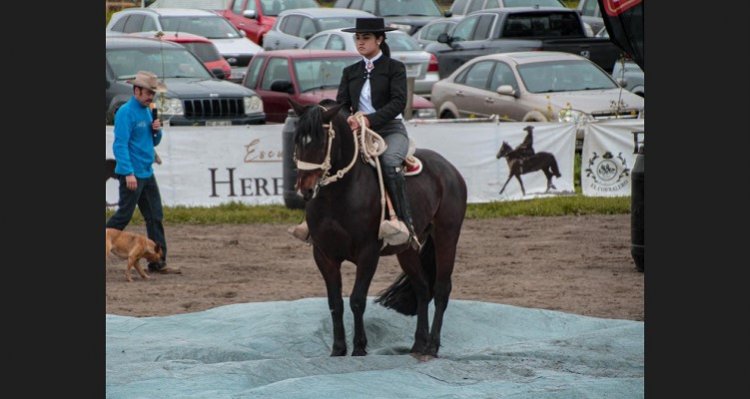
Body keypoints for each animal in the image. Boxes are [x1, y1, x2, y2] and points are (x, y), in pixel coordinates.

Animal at [290, 99, 468, 360]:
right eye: (297, 140)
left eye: (322, 141)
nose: (305, 189)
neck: (338, 195)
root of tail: (449, 170)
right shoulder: (324, 255)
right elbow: (335, 303)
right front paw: (338, 349)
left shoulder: (368, 253)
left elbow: (356, 300)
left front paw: (359, 348)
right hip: (407, 249)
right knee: (422, 288)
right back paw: (418, 344)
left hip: (447, 236)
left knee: (441, 289)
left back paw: (432, 347)